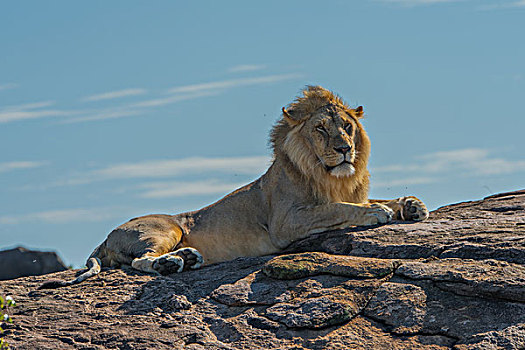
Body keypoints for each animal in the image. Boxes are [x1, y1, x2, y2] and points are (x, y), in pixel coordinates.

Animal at [40, 86, 426, 288]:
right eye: (320, 129)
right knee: (139, 262)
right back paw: (172, 264)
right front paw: (376, 211)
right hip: (165, 227)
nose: (345, 149)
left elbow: (370, 198)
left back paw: (189, 259)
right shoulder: (286, 222)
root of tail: (106, 236)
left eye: (347, 126)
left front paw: (410, 204)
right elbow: (339, 208)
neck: (333, 176)